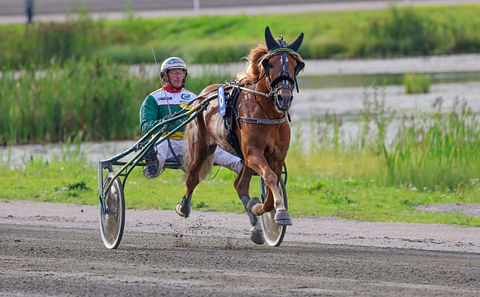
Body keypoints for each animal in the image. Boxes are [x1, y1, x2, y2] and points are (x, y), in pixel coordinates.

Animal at [175, 26, 304, 243]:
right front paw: (279, 213)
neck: (266, 112)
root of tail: (203, 95)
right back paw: (183, 207)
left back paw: (254, 221)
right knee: (192, 176)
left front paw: (261, 208)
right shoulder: (253, 153)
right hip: (201, 146)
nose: (283, 98)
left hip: (244, 159)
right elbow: (270, 177)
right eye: (269, 63)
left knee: (240, 185)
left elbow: (270, 190)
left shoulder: (276, 156)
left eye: (296, 64)